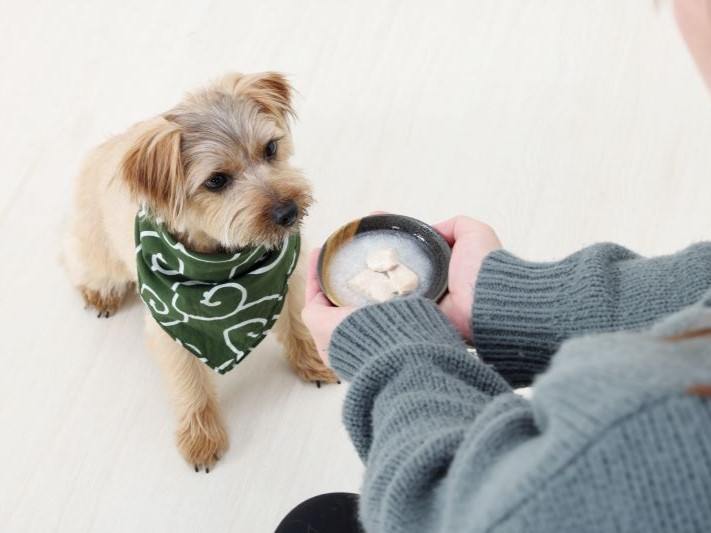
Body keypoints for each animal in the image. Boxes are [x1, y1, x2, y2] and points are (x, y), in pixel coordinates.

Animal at [62, 70, 338, 470]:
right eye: (216, 181)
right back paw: (99, 292)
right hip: (100, 253)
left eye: (270, 149)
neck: (223, 262)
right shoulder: (172, 331)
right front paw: (202, 437)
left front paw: (314, 359)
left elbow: (299, 324)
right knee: (74, 258)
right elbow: (190, 385)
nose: (288, 213)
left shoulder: (293, 276)